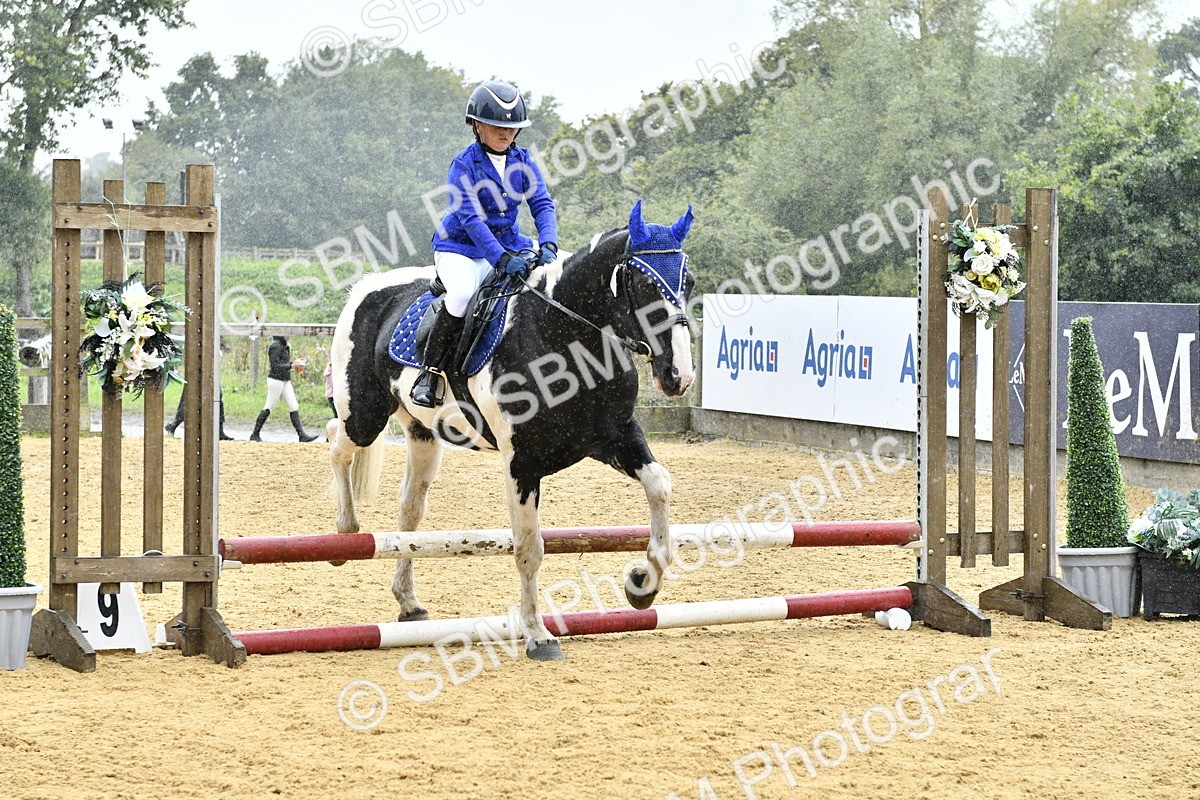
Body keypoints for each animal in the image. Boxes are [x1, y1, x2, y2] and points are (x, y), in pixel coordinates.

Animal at [326, 200, 696, 661]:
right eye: (644, 284)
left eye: (689, 282)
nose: (679, 376)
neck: (566, 337)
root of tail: (369, 286)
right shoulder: (523, 463)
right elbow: (528, 549)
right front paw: (538, 635)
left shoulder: (617, 437)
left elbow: (659, 485)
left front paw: (643, 585)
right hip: (364, 415)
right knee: (335, 441)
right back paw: (345, 532)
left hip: (423, 434)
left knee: (409, 508)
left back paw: (408, 602)